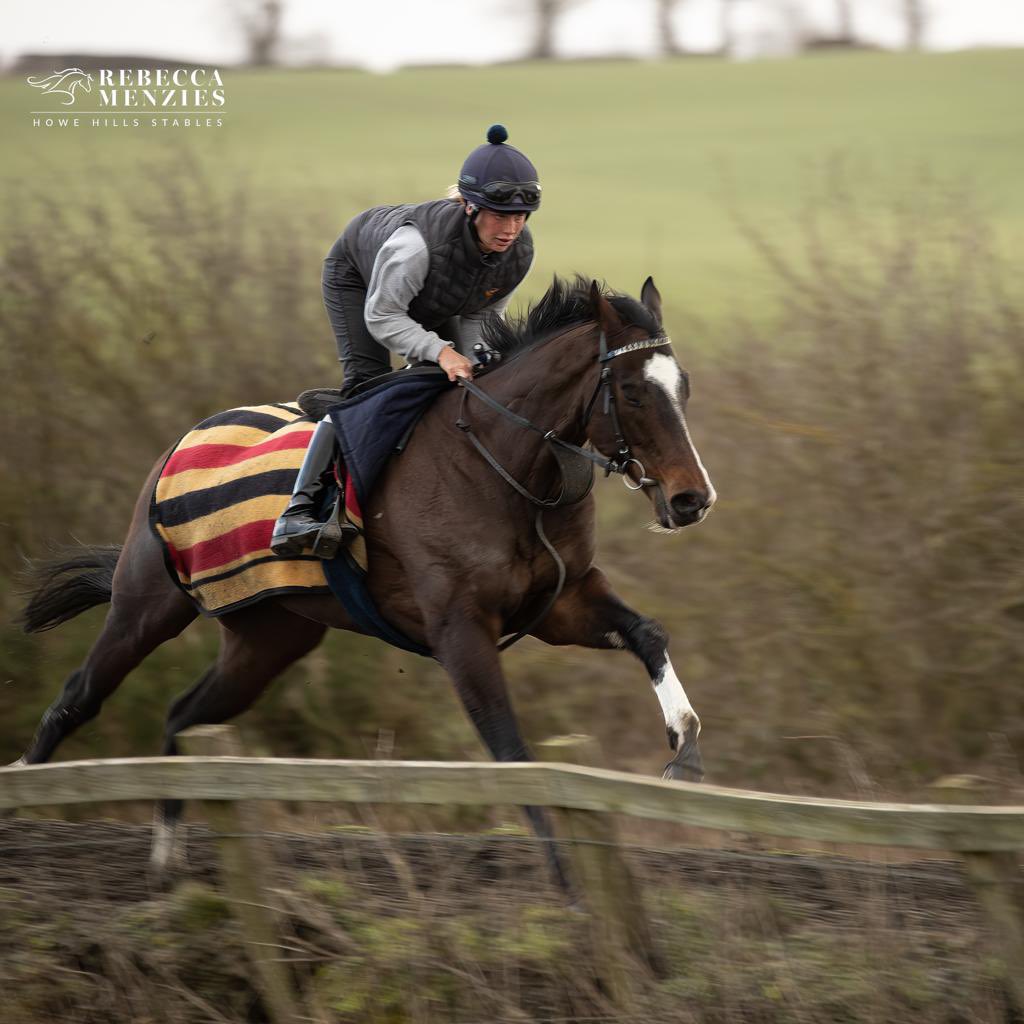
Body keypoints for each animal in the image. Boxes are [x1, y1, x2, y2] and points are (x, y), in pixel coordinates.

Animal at [14, 276, 712, 884]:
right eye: (631, 391)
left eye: (682, 387)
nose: (691, 500)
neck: (507, 468)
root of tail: (180, 442)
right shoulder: (460, 629)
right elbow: (509, 746)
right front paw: (566, 878)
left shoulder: (562, 600)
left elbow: (648, 634)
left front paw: (684, 750)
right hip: (148, 605)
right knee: (78, 696)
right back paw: (23, 794)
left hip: (268, 638)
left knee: (183, 715)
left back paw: (166, 854)